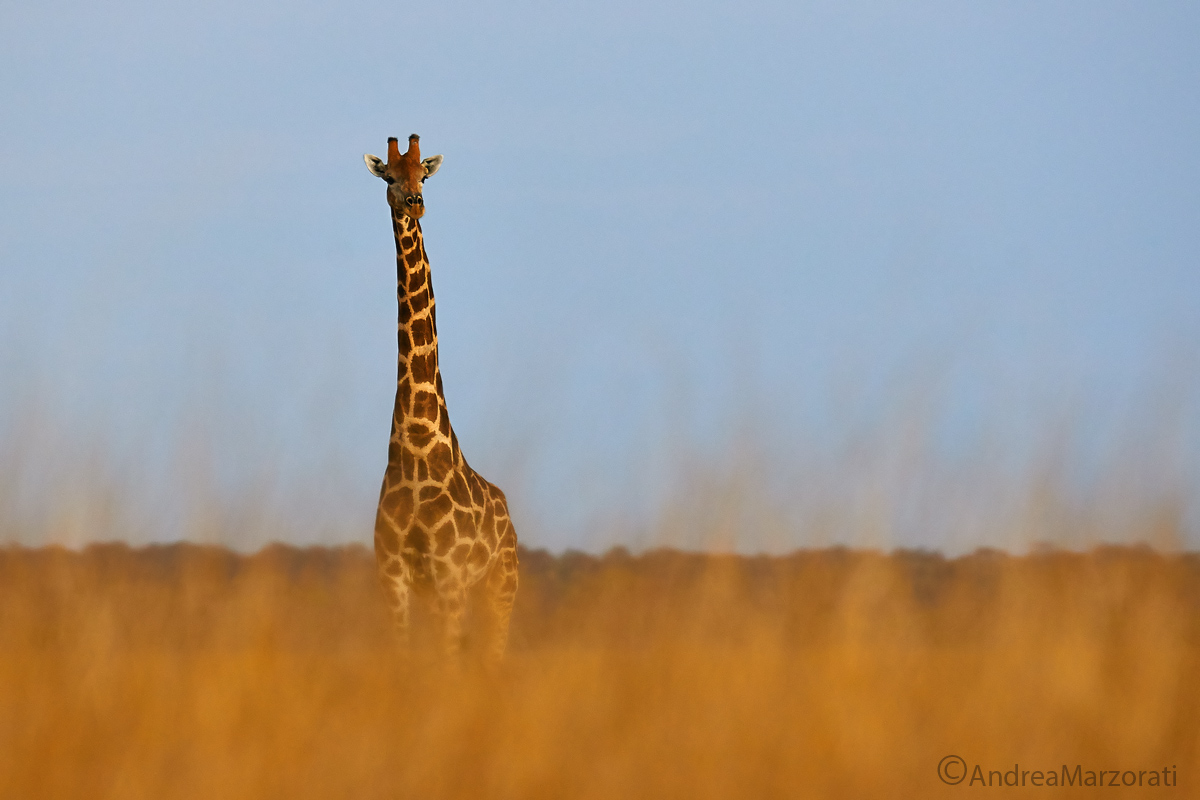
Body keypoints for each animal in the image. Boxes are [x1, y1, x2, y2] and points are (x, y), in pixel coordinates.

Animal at [364, 134, 519, 663]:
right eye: (389, 175)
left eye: (424, 177)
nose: (415, 202)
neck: (415, 445)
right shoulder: (394, 576)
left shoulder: (450, 577)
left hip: (500, 589)